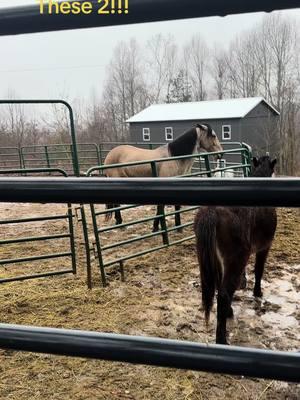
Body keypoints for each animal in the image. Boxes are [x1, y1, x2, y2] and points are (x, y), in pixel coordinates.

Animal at [195, 155, 276, 344]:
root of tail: (211, 212)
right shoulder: (265, 247)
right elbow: (259, 270)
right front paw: (257, 292)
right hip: (235, 258)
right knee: (224, 295)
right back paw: (222, 339)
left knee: (219, 287)